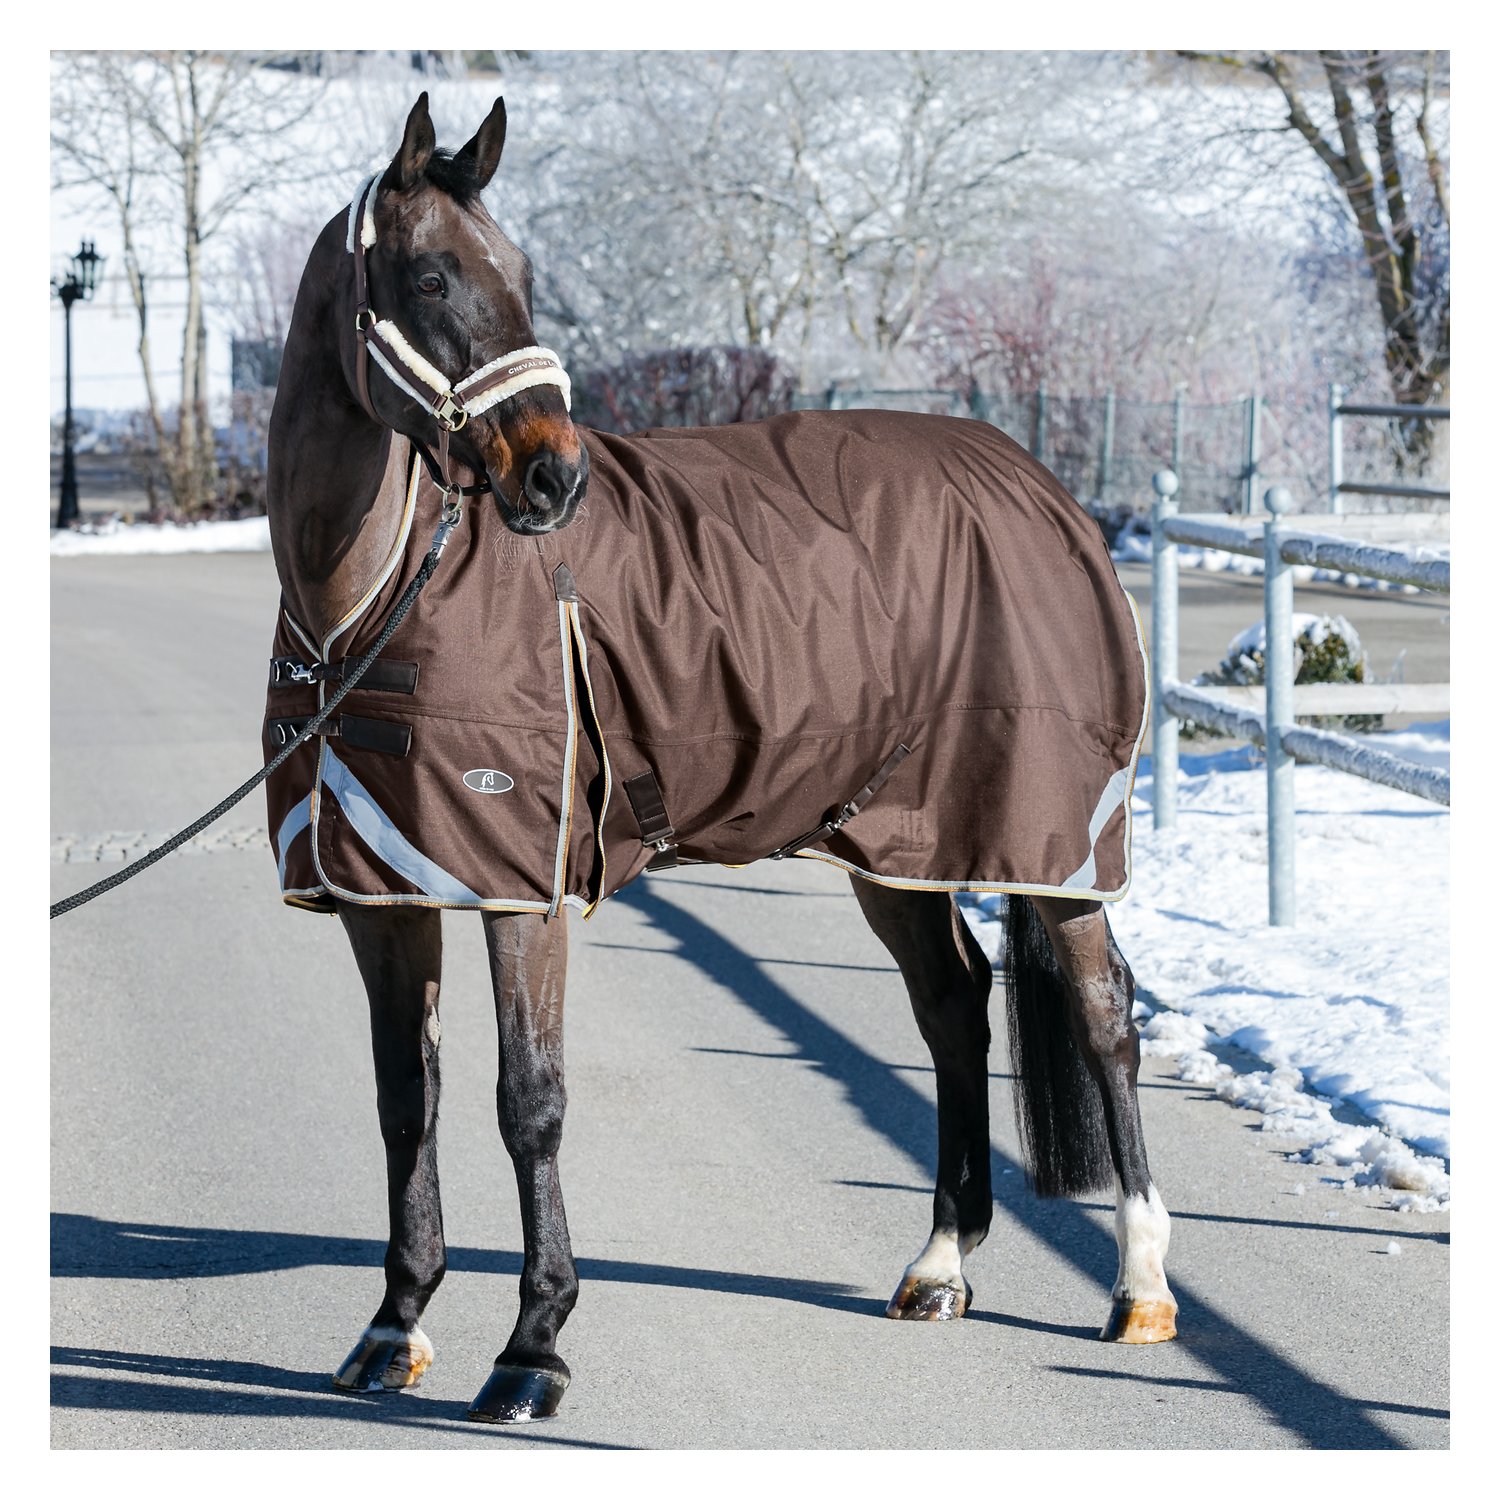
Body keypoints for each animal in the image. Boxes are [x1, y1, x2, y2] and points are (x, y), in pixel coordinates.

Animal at [263, 93, 1177, 1425]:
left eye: (522, 273)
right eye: (430, 276)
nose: (556, 475)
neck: (371, 607)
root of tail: (1036, 482)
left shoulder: (522, 890)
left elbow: (528, 1101)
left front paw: (534, 1348)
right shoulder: (385, 894)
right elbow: (404, 1102)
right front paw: (394, 1327)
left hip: (1048, 839)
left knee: (1107, 1017)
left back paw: (1140, 1288)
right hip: (891, 841)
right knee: (953, 1006)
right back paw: (939, 1266)